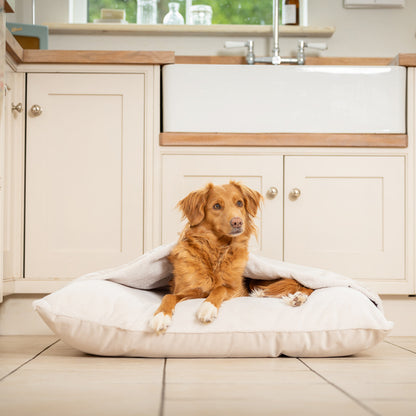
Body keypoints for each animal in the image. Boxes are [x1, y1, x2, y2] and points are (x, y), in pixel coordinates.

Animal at [149, 182, 312, 334]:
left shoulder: (237, 290)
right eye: (216, 206)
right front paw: (160, 316)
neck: (217, 251)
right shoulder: (188, 290)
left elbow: (220, 288)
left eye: (239, 203)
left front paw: (207, 307)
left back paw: (298, 298)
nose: (237, 222)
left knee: (303, 286)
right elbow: (168, 296)